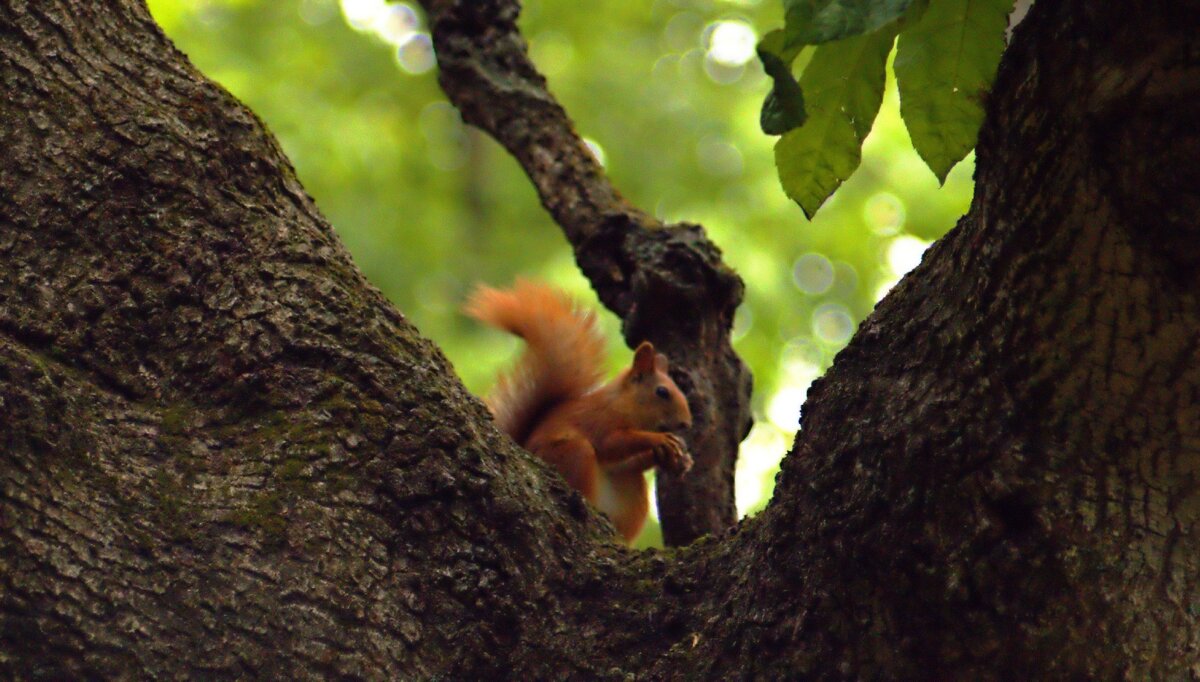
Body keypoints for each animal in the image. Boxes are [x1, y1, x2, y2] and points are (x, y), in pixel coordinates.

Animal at [468, 279, 696, 540]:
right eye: (662, 392)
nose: (686, 424)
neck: (625, 405)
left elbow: (626, 461)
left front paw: (677, 458)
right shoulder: (600, 420)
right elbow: (612, 444)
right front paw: (658, 440)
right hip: (573, 453)